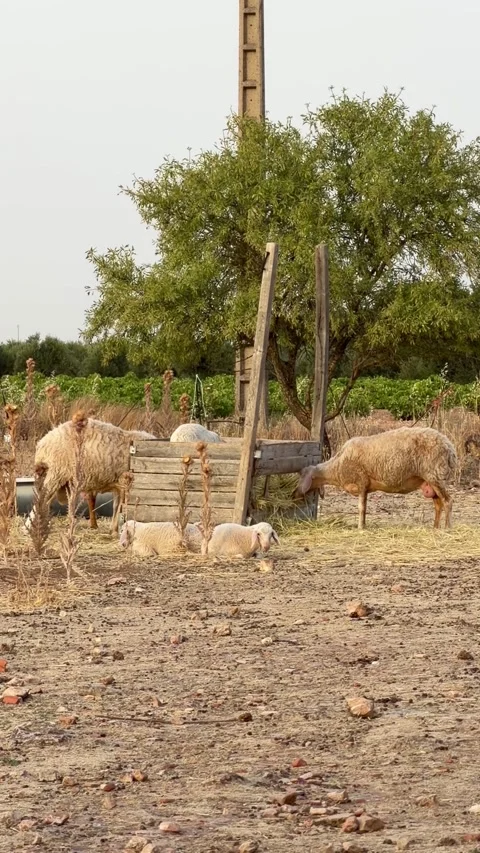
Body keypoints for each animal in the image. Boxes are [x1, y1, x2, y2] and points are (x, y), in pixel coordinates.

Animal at [27, 418, 156, 535]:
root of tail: (42, 442)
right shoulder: (125, 483)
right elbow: (121, 507)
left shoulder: (119, 485)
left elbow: (116, 506)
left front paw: (113, 529)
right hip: (56, 473)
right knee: (42, 498)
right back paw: (32, 526)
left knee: (47, 501)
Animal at [296, 426, 457, 530]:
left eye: (302, 476)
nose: (295, 493)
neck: (337, 467)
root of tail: (450, 448)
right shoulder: (365, 486)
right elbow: (365, 508)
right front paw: (364, 525)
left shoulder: (360, 481)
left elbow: (361, 508)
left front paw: (360, 527)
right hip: (430, 481)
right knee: (438, 505)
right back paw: (435, 528)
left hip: (436, 475)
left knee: (448, 501)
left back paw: (447, 528)